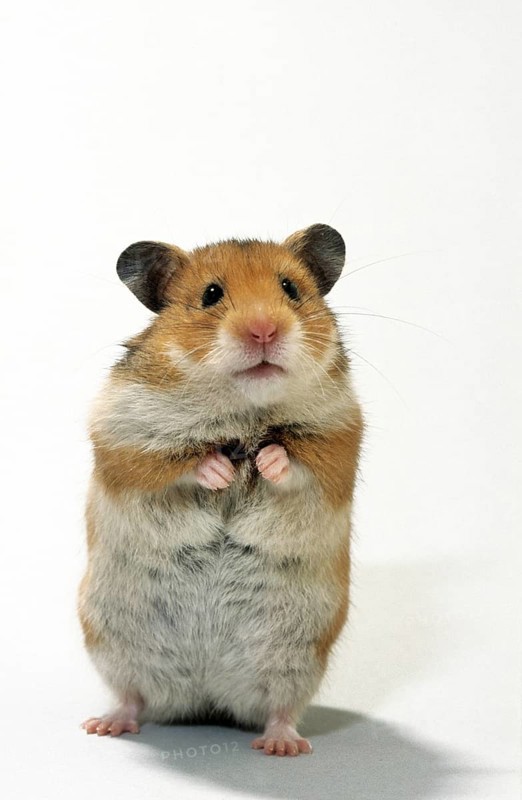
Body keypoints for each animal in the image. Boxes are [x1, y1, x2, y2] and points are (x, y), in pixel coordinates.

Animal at [78, 223, 363, 756]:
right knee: (133, 696)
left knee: (280, 708)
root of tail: (206, 697)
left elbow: (295, 461)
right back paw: (103, 725)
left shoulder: (339, 439)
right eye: (211, 294)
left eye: (291, 289)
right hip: (110, 639)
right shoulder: (124, 438)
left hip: (299, 655)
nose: (264, 331)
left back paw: (282, 746)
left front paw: (264, 461)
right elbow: (176, 462)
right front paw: (221, 472)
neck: (242, 411)